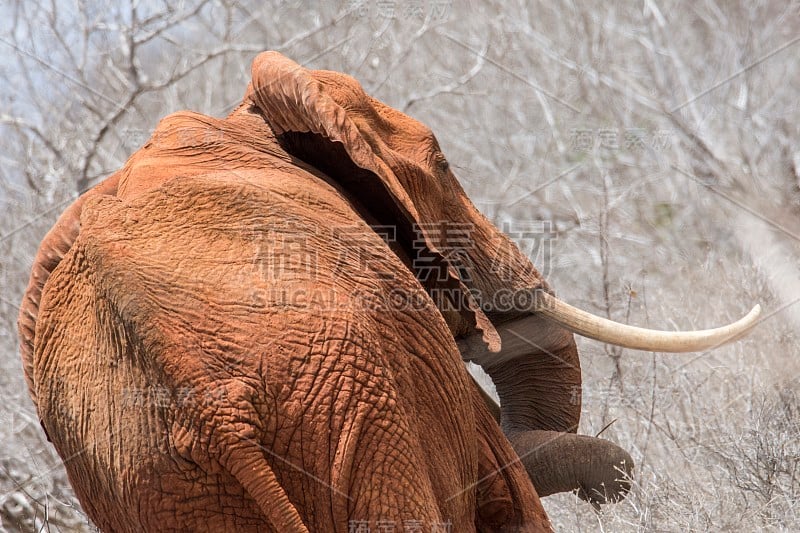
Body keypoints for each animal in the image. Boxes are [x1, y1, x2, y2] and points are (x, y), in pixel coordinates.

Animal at [15, 51, 760, 532]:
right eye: (445, 166)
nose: (613, 490)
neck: (247, 125)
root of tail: (207, 400)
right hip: (355, 404)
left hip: (149, 476)